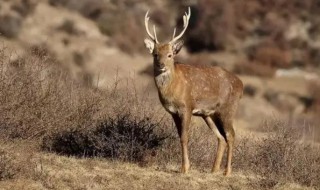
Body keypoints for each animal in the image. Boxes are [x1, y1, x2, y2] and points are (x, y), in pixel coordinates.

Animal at [144, 7, 244, 177]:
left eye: (170, 55)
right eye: (155, 54)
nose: (161, 65)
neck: (173, 89)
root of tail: (241, 85)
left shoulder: (187, 106)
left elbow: (184, 137)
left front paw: (185, 168)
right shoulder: (173, 112)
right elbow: (180, 136)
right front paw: (184, 167)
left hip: (228, 109)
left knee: (231, 135)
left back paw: (227, 171)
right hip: (209, 114)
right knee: (221, 137)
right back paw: (214, 170)